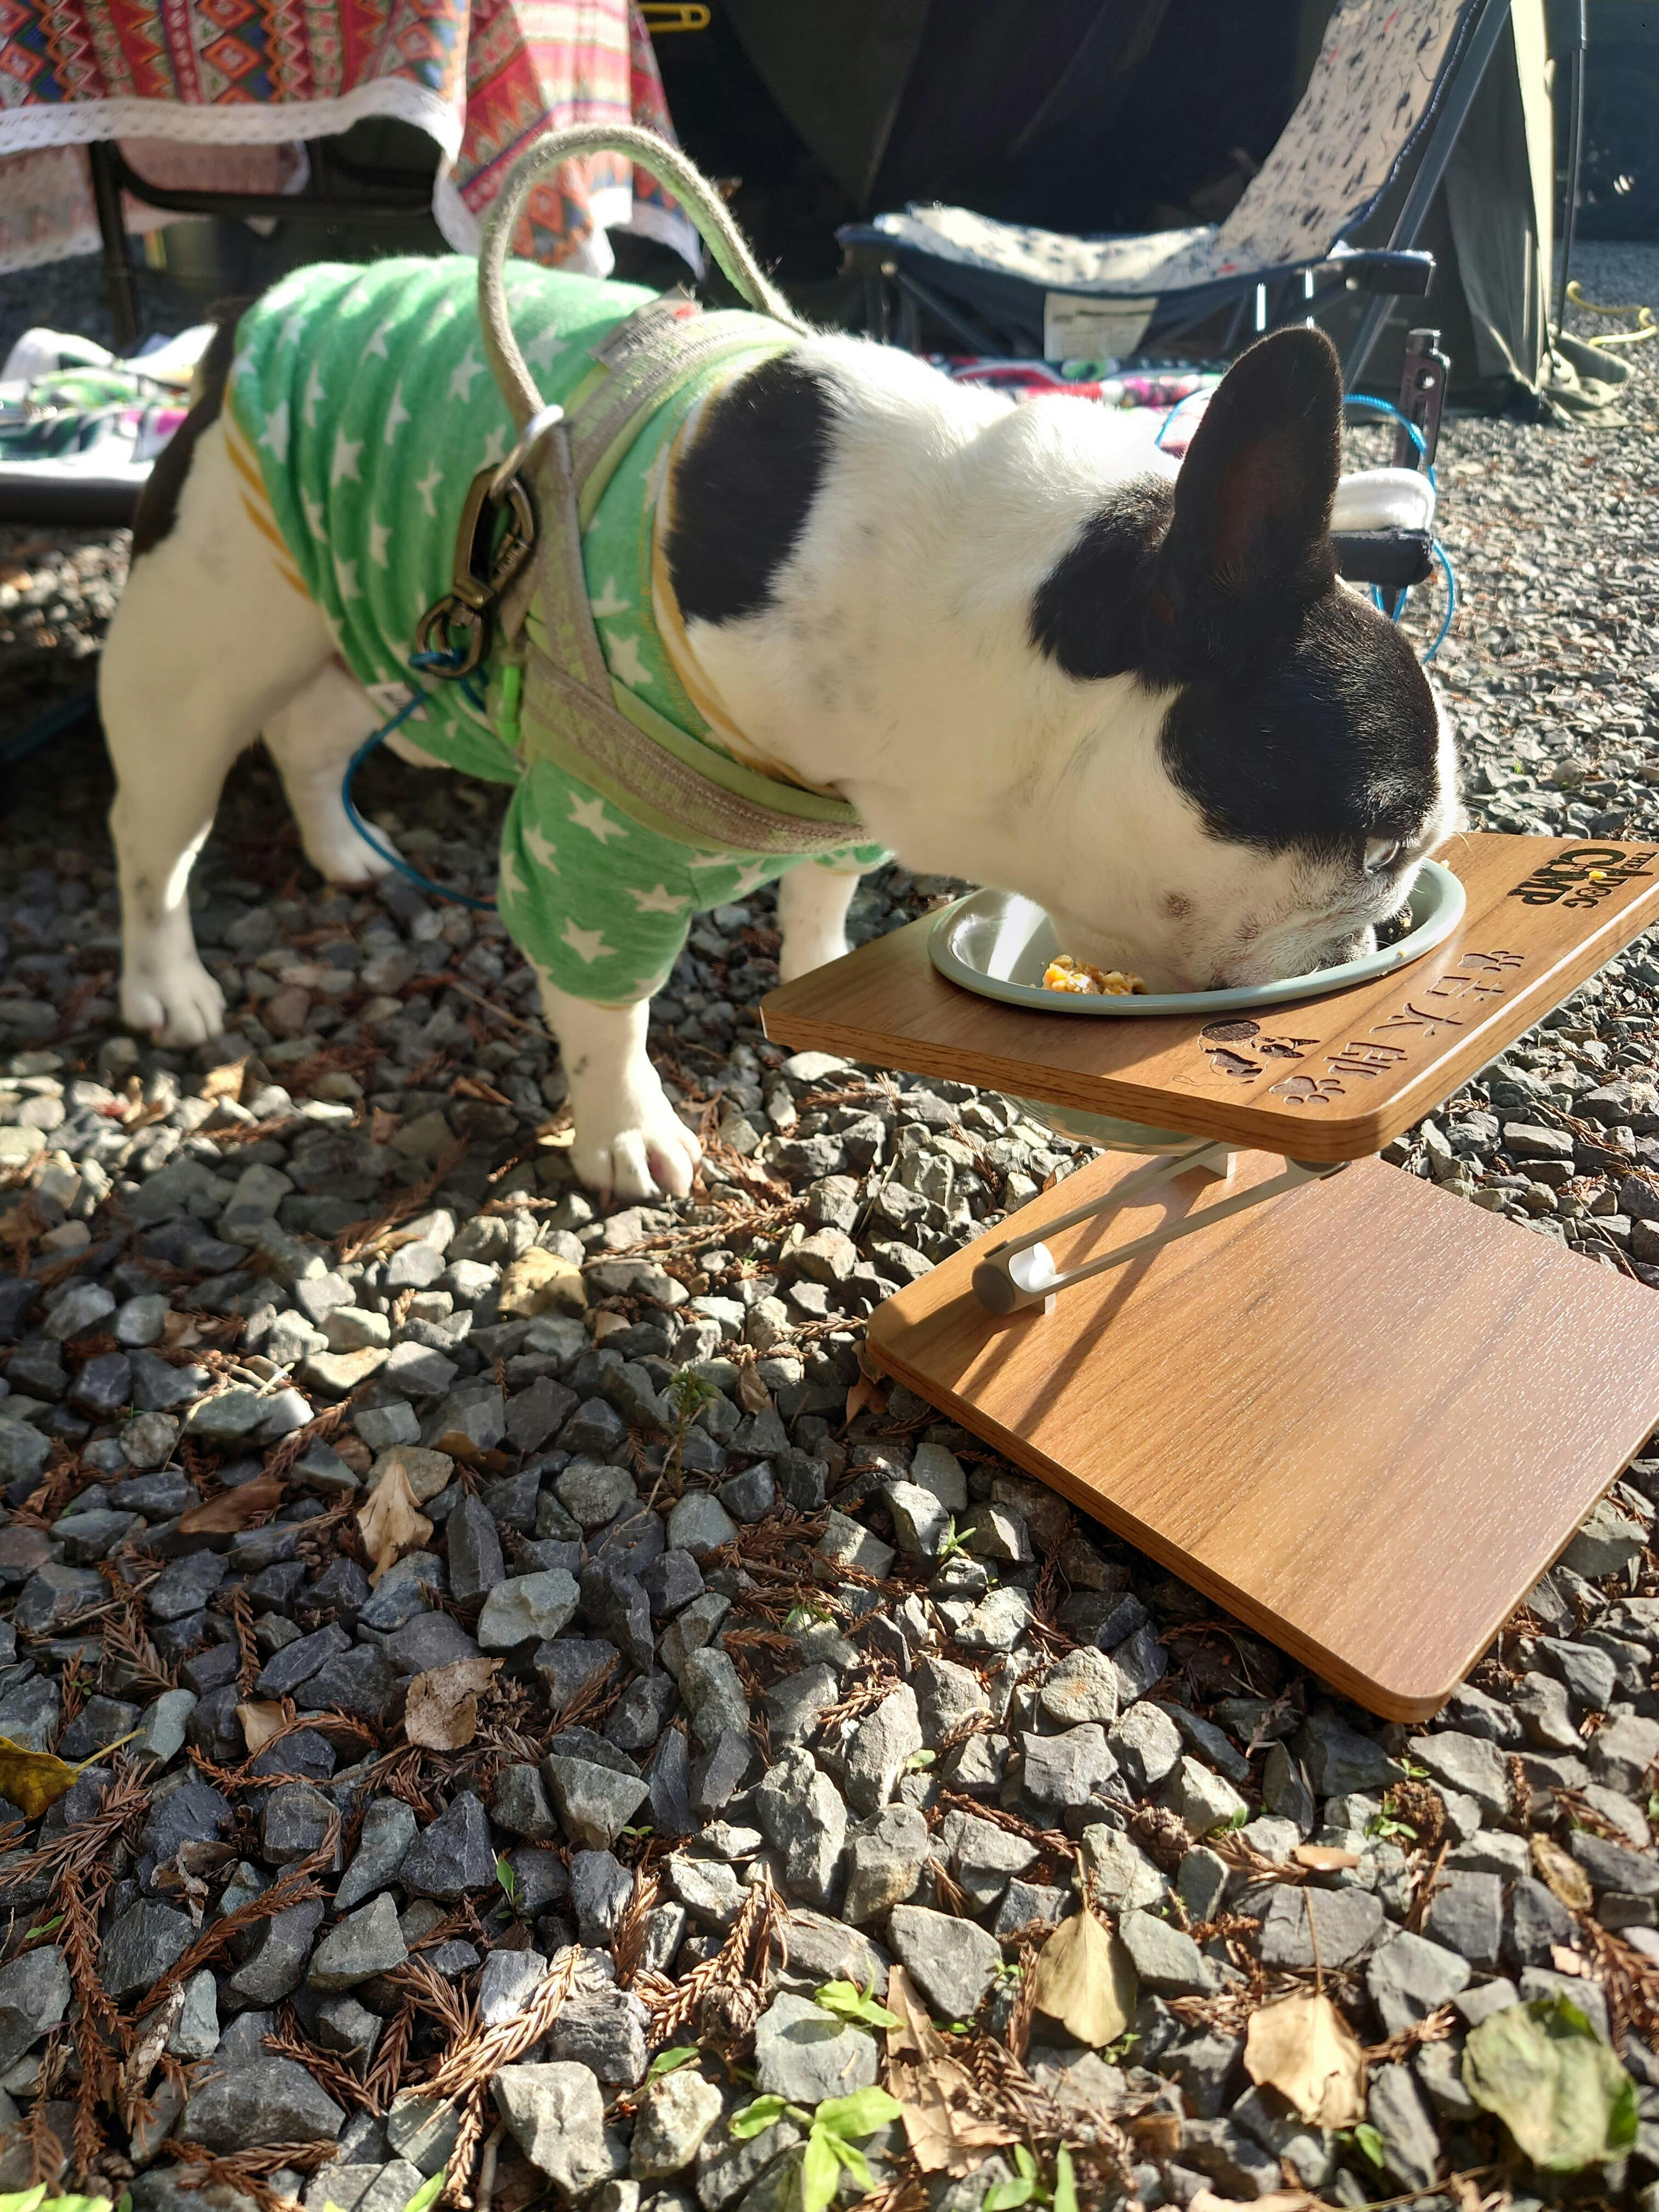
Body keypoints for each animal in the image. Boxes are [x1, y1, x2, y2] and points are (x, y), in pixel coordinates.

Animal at [101, 263, 1457, 1203]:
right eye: (1383, 847)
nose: (1375, 936)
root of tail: (265, 311)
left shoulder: (844, 809)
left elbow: (818, 903)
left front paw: (812, 994)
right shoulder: (593, 849)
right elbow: (606, 1008)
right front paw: (625, 1130)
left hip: (384, 642)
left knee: (313, 734)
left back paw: (343, 853)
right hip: (194, 658)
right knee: (157, 836)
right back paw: (169, 985)